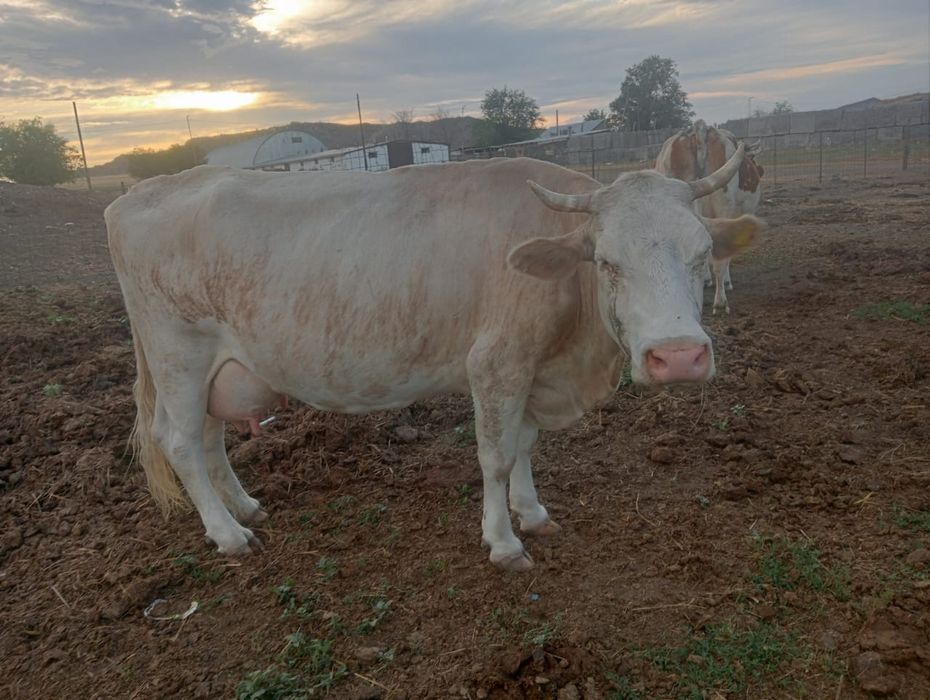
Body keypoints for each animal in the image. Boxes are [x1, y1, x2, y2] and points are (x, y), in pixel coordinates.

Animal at [105, 148, 763, 572]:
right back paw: (228, 534)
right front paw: (504, 542)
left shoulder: (531, 367)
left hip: (218, 368)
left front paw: (532, 511)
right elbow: (496, 456)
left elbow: (524, 445)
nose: (678, 356)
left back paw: (244, 507)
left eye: (702, 254)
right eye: (607, 262)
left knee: (209, 437)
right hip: (178, 353)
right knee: (181, 442)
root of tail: (136, 195)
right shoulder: (495, 361)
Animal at [655, 120, 765, 313]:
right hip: (724, 206)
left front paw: (706, 280)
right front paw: (726, 282)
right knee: (719, 261)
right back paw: (720, 301)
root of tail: (700, 130)